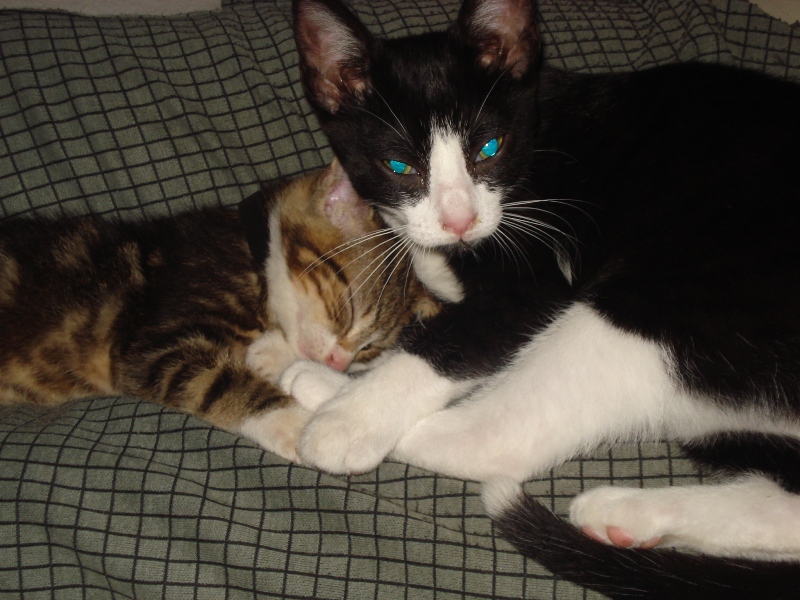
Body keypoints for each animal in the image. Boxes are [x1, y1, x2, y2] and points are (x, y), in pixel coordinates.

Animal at [0, 160, 437, 464]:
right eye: (346, 312)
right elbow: (216, 380)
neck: (253, 261)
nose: (339, 362)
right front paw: (297, 423)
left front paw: (272, 353)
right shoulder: (148, 344)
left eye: (368, 351)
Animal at [281, 0, 800, 596]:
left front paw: (352, 418)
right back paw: (627, 514)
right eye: (399, 167)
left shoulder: (536, 281)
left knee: (497, 439)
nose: (459, 221)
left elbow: (454, 340)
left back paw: (323, 392)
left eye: (488, 149)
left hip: (671, 300)